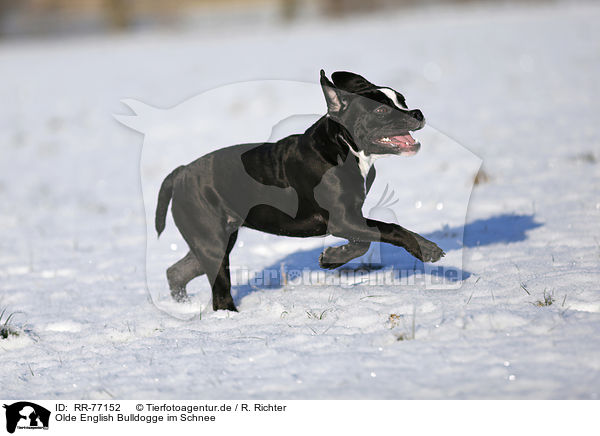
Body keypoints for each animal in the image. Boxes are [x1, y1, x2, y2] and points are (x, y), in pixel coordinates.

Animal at [157, 70, 442, 310]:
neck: (343, 146)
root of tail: (182, 172)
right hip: (213, 244)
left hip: (216, 239)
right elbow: (388, 229)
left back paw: (181, 305)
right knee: (219, 292)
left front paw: (332, 258)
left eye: (402, 100)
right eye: (381, 110)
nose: (416, 113)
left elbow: (364, 242)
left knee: (178, 271)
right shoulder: (343, 219)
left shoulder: (351, 219)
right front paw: (427, 249)